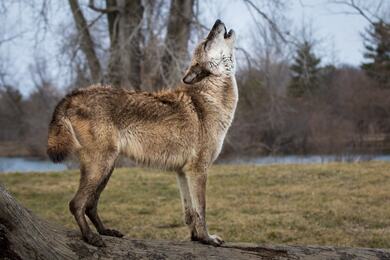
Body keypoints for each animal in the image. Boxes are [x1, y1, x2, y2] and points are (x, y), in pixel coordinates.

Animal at [47, 19, 236, 247]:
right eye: (207, 42)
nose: (218, 21)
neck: (212, 96)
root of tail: (74, 94)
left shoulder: (183, 172)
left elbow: (189, 212)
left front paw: (196, 238)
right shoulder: (198, 170)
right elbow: (201, 210)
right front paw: (207, 239)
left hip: (107, 168)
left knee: (90, 205)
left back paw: (106, 231)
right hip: (101, 166)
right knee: (76, 203)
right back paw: (91, 238)